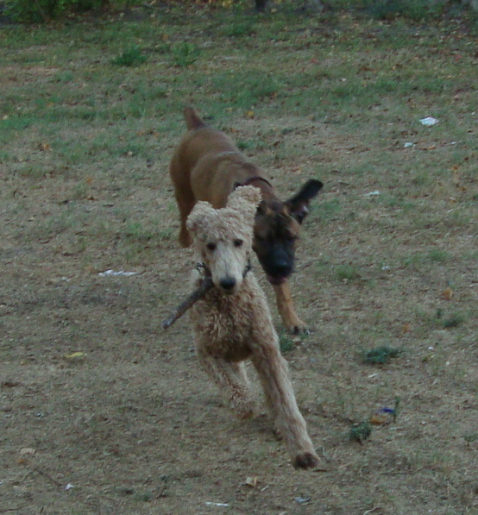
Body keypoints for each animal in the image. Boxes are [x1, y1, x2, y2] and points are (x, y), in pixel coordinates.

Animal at [168, 109, 322, 334]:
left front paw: (292, 320)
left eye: (291, 238)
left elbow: (283, 292)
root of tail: (198, 126)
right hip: (184, 197)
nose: (281, 267)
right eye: (262, 238)